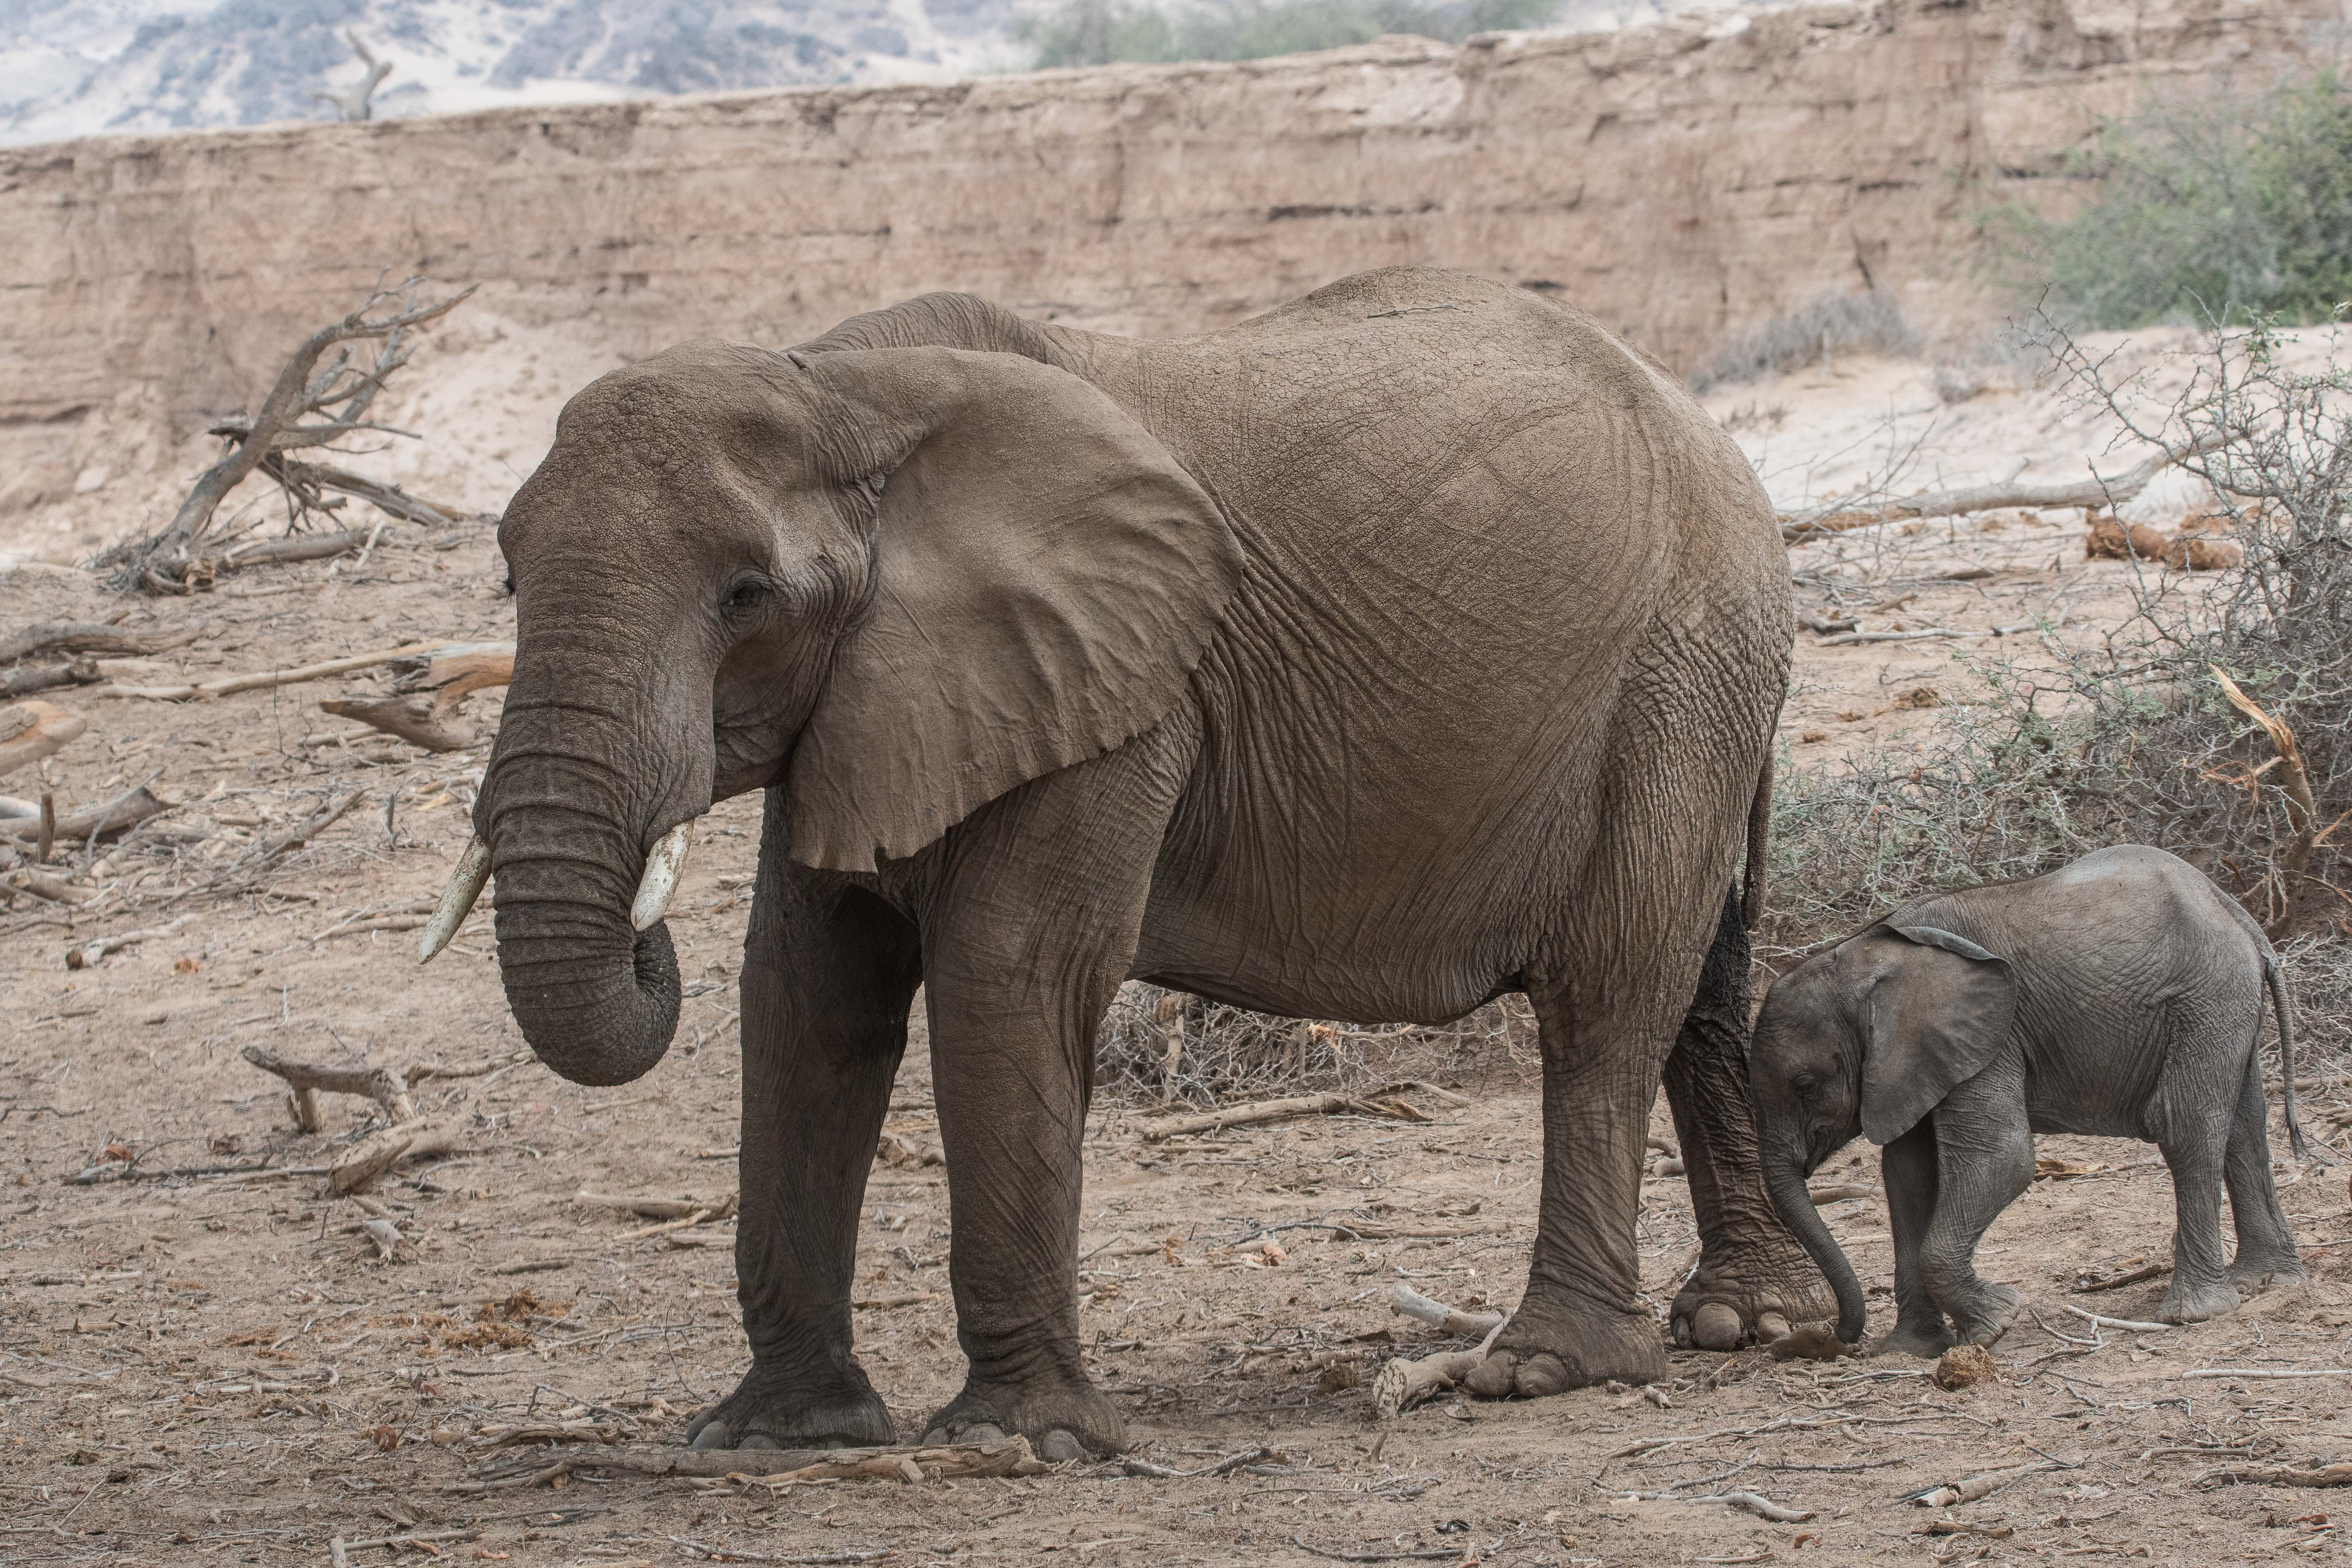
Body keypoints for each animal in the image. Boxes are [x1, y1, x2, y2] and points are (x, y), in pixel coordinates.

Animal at [423, 267, 1816, 1457]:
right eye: (509, 576)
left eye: (746, 597)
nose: (646, 919)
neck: (844, 385)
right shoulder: (885, 690)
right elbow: (809, 993)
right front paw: (774, 1438)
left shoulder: (1121, 684)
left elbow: (1007, 974)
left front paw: (1013, 1443)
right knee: (1699, 985)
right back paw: (1748, 1320)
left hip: (1678, 672)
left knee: (1609, 992)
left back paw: (1545, 1365)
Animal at [1750, 841, 2314, 1354]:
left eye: (1805, 1085)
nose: (1827, 1338)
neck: (1859, 956)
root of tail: (2241, 917)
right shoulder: (1910, 1064)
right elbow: (1907, 1175)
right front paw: (1910, 1350)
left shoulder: (1988, 1038)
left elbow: (2003, 1158)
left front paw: (1995, 1325)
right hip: (2228, 1002)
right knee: (2245, 1125)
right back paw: (2266, 1282)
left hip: (2205, 999)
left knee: (2185, 1125)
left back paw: (2194, 1312)